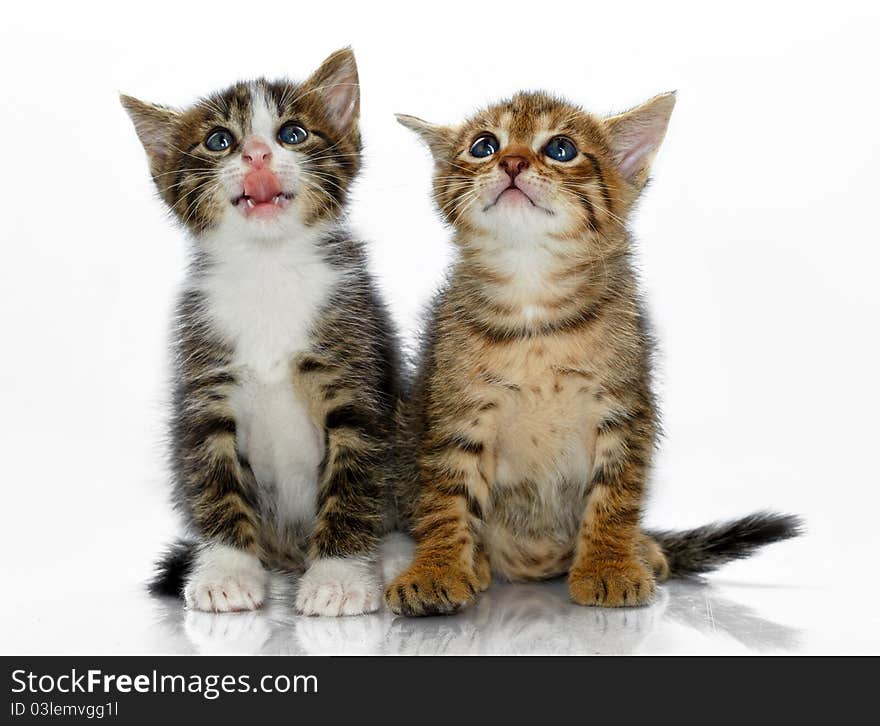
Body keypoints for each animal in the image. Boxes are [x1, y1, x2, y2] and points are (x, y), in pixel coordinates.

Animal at [121, 49, 402, 620]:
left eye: (292, 133)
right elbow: (213, 481)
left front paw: (339, 576)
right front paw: (227, 571)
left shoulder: (357, 378)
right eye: (219, 140)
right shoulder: (204, 387)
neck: (269, 269)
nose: (256, 154)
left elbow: (355, 482)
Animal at [384, 89, 796, 616]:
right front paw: (436, 568)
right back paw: (478, 563)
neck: (533, 303)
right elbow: (446, 498)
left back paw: (641, 548)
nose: (512, 161)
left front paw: (609, 565)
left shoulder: (625, 407)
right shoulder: (455, 411)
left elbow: (616, 497)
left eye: (561, 149)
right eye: (483, 146)